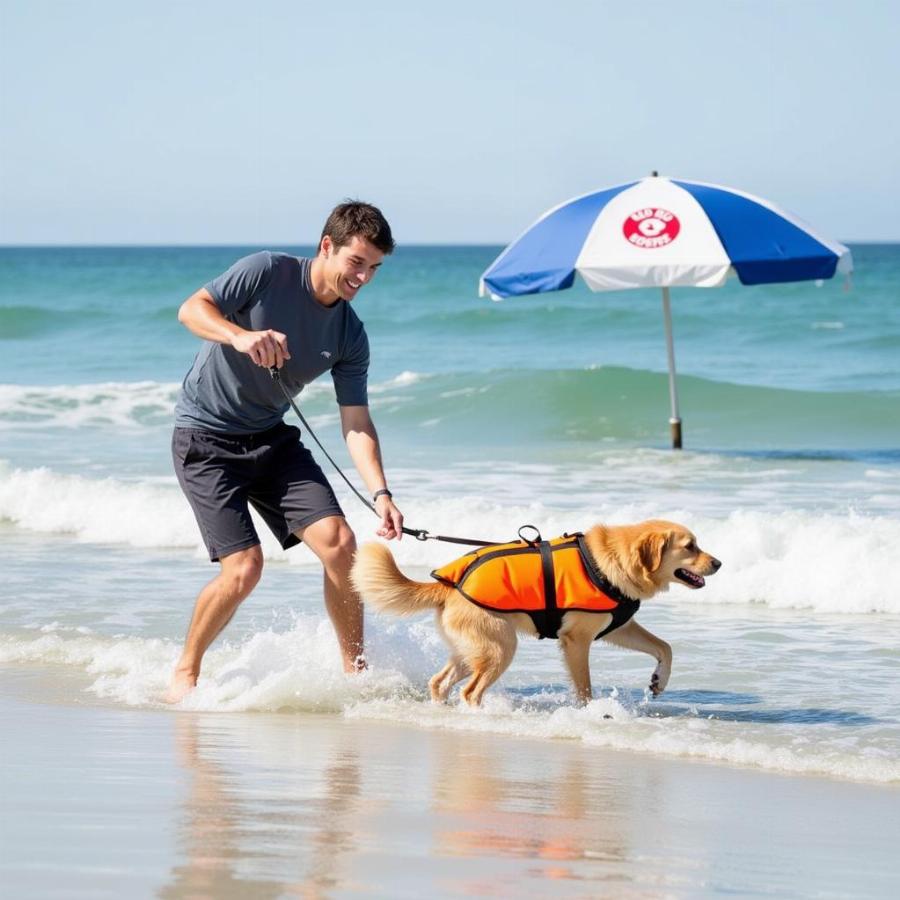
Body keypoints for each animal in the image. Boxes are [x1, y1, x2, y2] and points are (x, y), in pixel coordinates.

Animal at [348, 524, 720, 708]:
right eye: (690, 546)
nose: (718, 563)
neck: (610, 560)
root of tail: (449, 586)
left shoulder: (618, 627)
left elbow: (665, 647)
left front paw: (660, 680)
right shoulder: (577, 640)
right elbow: (584, 688)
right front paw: (589, 713)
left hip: (473, 650)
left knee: (439, 682)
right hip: (500, 647)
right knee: (471, 692)